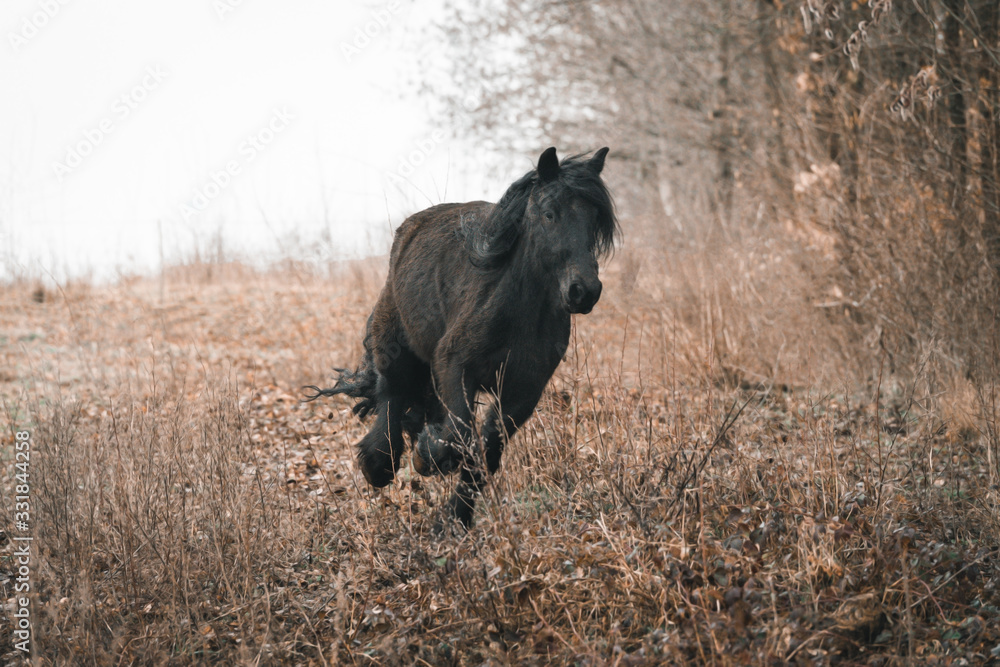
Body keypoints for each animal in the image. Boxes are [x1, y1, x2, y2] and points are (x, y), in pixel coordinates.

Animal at [304, 149, 616, 528]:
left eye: (595, 220)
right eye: (549, 213)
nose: (583, 291)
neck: (519, 312)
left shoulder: (523, 391)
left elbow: (488, 451)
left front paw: (456, 518)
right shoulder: (454, 367)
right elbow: (460, 436)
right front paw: (428, 457)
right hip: (396, 347)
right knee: (392, 395)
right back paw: (377, 465)